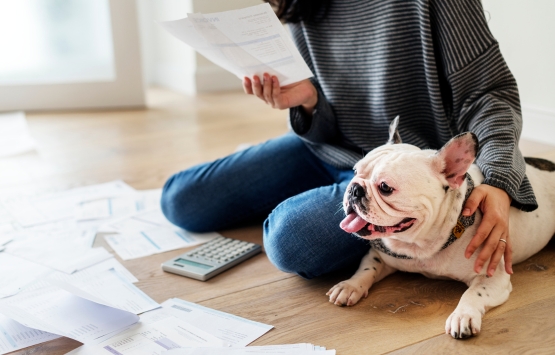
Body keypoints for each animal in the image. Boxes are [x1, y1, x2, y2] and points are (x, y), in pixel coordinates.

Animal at [328, 117, 555, 340]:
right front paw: (349, 285)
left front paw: (463, 316)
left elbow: (473, 293)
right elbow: (367, 269)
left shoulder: (493, 277)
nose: (354, 189)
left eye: (385, 187)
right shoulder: (379, 254)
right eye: (355, 172)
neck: (420, 245)